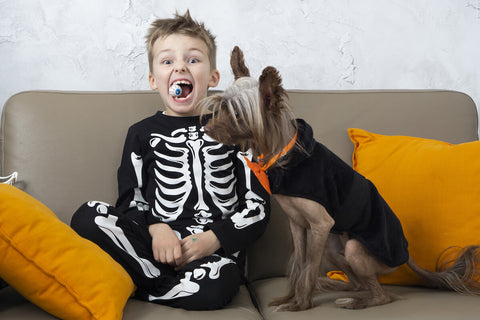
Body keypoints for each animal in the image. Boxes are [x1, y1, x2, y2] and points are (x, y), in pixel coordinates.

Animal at [196, 46, 480, 312]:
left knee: (382, 295)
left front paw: (301, 304)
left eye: (237, 115)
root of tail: (406, 254)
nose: (206, 128)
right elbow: (298, 265)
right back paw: (335, 286)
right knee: (357, 283)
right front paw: (290, 298)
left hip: (354, 249)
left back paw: (354, 302)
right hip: (334, 249)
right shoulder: (298, 226)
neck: (285, 156)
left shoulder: (321, 224)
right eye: (222, 107)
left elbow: (309, 267)